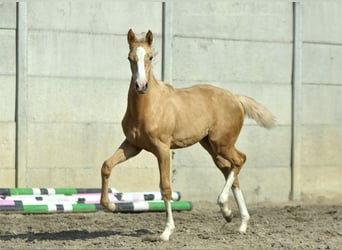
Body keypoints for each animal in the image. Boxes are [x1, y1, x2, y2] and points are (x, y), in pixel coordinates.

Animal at [101, 28, 276, 240]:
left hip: (222, 143)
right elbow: (106, 166)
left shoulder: (162, 149)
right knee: (230, 169)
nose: (141, 86)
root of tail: (236, 98)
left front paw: (167, 231)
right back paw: (236, 220)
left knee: (240, 160)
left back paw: (226, 207)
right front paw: (110, 206)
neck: (148, 107)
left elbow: (165, 188)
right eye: (130, 58)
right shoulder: (132, 145)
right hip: (211, 146)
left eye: (150, 57)